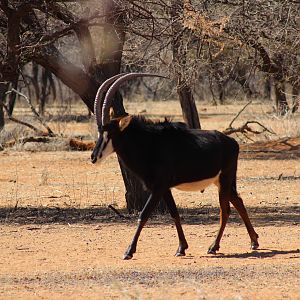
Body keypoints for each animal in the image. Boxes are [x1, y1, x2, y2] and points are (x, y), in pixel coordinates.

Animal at [91, 72, 258, 260]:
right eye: (99, 132)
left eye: (109, 133)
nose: (93, 157)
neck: (149, 144)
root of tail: (232, 142)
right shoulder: (165, 188)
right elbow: (174, 213)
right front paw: (181, 247)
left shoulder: (158, 187)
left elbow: (143, 215)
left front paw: (129, 251)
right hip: (222, 181)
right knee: (238, 201)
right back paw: (254, 241)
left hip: (225, 179)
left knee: (226, 210)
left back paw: (214, 246)